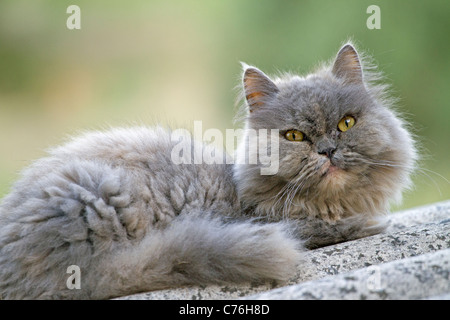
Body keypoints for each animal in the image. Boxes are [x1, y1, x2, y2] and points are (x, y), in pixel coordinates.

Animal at [0, 42, 414, 298]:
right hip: (94, 195)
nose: (327, 150)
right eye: (294, 136)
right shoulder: (273, 222)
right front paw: (366, 225)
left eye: (346, 123)